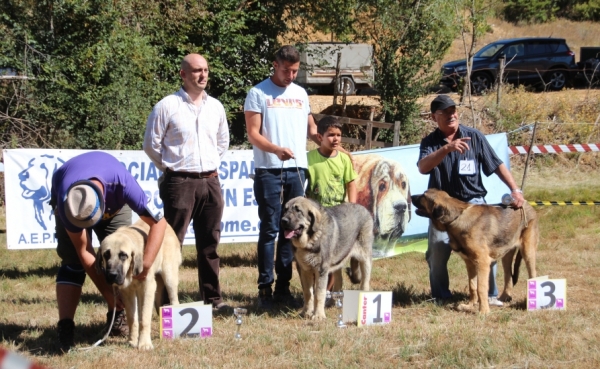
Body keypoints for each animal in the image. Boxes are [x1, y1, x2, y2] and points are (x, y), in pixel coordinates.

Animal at [412, 188, 540, 312]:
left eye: (424, 195)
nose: (411, 196)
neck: (456, 217)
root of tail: (527, 204)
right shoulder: (470, 263)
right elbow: (472, 286)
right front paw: (470, 306)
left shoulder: (482, 262)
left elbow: (481, 288)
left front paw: (483, 311)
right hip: (506, 254)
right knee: (508, 276)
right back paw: (504, 298)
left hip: (527, 251)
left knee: (532, 274)